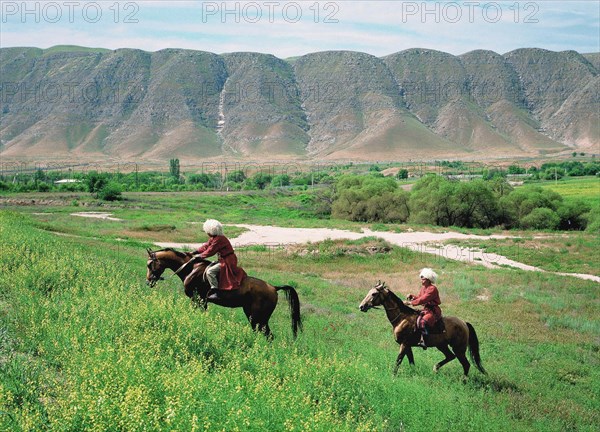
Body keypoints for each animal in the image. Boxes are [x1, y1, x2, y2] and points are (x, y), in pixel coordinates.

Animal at [146, 248, 304, 340]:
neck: (191, 268)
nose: (149, 282)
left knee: (268, 336)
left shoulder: (197, 300)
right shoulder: (202, 302)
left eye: (150, 264)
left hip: (259, 318)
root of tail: (274, 288)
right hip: (253, 316)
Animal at [358, 282, 486, 376]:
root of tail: (464, 323)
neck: (402, 318)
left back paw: (463, 381)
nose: (361, 306)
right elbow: (411, 361)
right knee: (450, 357)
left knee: (466, 364)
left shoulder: (404, 344)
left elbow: (398, 360)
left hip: (459, 349)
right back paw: (435, 368)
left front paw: (393, 375)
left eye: (374, 294)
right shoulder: (408, 346)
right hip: (442, 346)